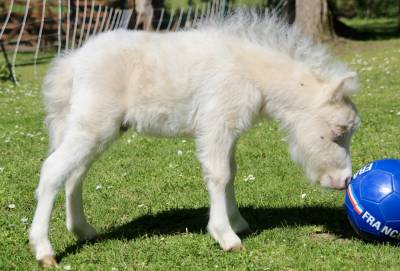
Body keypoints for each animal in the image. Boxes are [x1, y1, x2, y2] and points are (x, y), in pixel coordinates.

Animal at [28, 11, 360, 268]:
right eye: (338, 131)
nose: (345, 180)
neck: (251, 73)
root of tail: (72, 62)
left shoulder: (229, 128)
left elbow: (230, 173)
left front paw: (238, 222)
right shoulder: (217, 123)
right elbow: (219, 174)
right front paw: (226, 236)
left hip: (97, 128)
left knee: (75, 174)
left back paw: (83, 230)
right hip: (94, 123)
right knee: (53, 169)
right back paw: (45, 251)